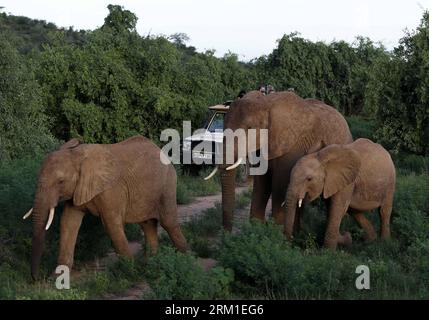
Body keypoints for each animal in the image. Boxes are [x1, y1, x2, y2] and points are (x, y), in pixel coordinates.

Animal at [204, 91, 352, 231]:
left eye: (250, 128)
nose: (226, 233)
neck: (266, 103)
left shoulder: (294, 145)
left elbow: (280, 184)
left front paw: (276, 233)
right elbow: (261, 182)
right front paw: (256, 228)